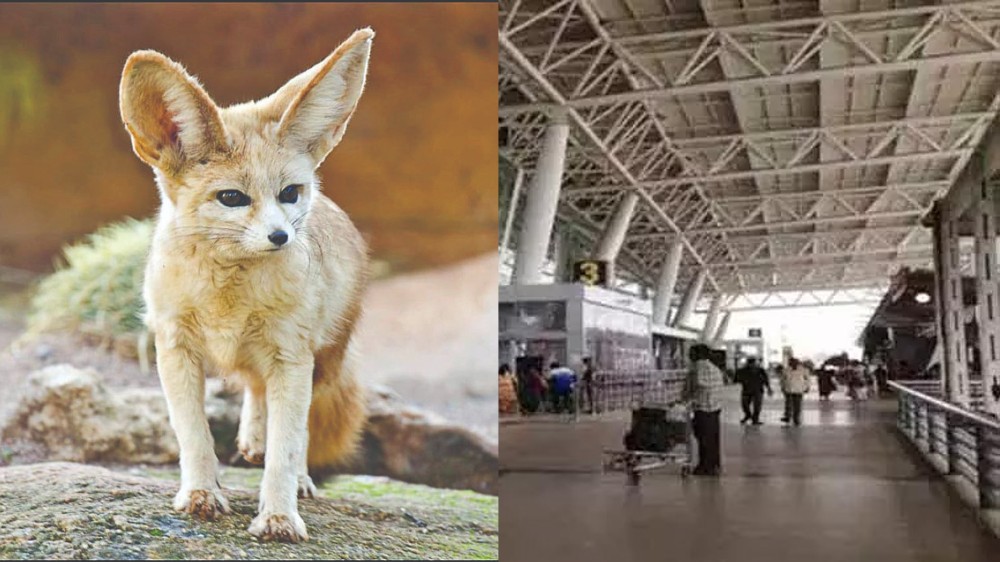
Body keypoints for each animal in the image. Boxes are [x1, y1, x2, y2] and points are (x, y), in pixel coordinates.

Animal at [117, 28, 375, 542]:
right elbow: (194, 435)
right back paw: (253, 438)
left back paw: (297, 478)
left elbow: (287, 445)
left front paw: (278, 515)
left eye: (289, 193)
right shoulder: (175, 350)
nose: (281, 237)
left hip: (321, 363)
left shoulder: (292, 357)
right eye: (232, 198)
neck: (227, 298)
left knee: (295, 425)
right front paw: (201, 493)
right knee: (256, 391)